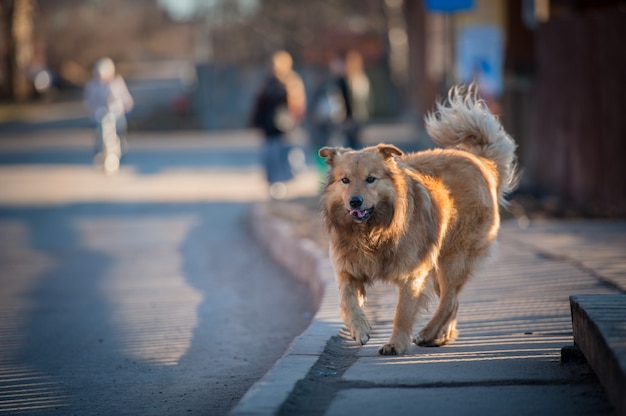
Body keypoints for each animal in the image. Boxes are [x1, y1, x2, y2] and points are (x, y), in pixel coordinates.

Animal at [320, 84, 516, 354]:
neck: (374, 230)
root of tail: (481, 161)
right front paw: (360, 329)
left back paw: (428, 333)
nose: (355, 202)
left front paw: (395, 344)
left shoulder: (412, 274)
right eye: (345, 180)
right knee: (452, 301)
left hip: (452, 259)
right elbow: (347, 300)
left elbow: (402, 312)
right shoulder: (348, 270)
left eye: (371, 179)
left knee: (450, 300)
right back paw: (441, 336)